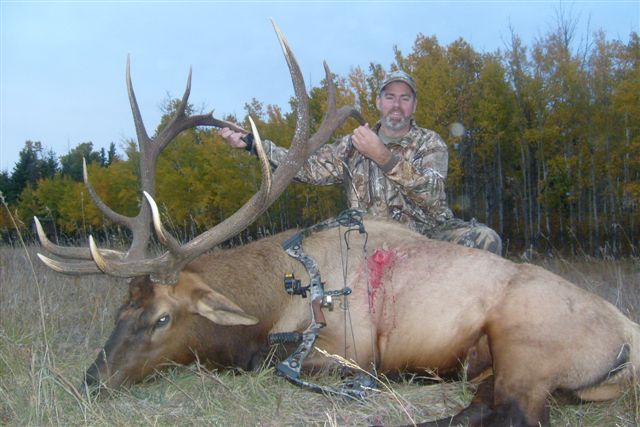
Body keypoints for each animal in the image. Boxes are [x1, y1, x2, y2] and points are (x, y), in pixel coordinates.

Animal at [34, 23, 639, 427]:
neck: (274, 294)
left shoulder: (343, 349)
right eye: (121, 308)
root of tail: (628, 342)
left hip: (526, 345)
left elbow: (274, 362)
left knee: (513, 414)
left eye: (162, 318)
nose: (90, 382)